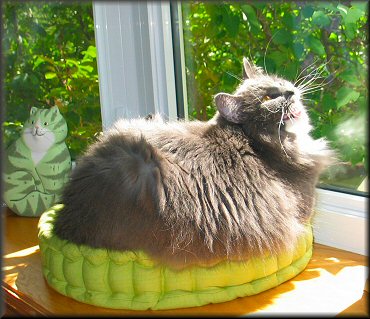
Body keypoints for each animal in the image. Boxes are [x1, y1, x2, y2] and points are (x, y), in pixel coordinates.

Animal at [54, 58, 336, 270]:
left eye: (279, 82)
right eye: (268, 98)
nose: (291, 91)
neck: (257, 144)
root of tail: (65, 217)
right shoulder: (303, 210)